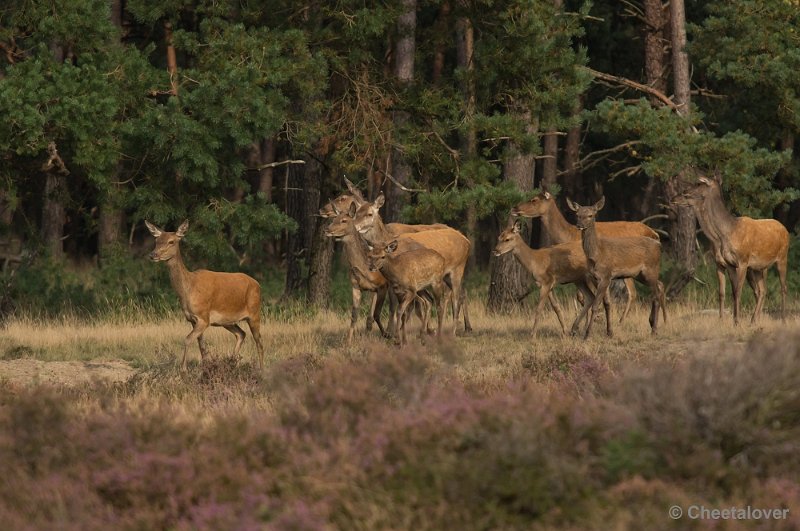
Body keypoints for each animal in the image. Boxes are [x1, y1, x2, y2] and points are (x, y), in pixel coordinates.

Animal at [145, 219, 264, 370]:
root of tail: (258, 284)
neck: (188, 289)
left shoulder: (203, 317)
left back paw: (260, 369)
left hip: (254, 312)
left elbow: (187, 339)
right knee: (241, 334)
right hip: (227, 320)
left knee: (259, 342)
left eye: (171, 241)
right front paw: (206, 367)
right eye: (156, 240)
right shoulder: (192, 319)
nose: (153, 255)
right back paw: (232, 363)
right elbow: (201, 345)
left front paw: (183, 369)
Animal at [354, 193, 472, 334]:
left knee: (454, 297)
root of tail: (467, 241)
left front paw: (392, 331)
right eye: (356, 212)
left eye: (370, 214)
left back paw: (452, 330)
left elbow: (397, 305)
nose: (355, 227)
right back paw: (466, 327)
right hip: (448, 275)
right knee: (462, 292)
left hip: (457, 269)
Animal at [516, 192, 660, 324]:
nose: (515, 208)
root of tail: (654, 233)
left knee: (633, 292)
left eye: (534, 200)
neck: (569, 235)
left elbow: (590, 297)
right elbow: (584, 297)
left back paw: (621, 322)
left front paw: (593, 320)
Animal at [564, 197, 664, 338]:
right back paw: (652, 324)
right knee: (659, 286)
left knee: (655, 295)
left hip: (651, 269)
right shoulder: (596, 277)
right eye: (577, 215)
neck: (597, 253)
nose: (579, 225)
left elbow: (596, 305)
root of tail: (659, 244)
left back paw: (654, 329)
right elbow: (606, 303)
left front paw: (587, 334)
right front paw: (609, 332)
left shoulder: (606, 276)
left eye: (590, 215)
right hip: (640, 275)